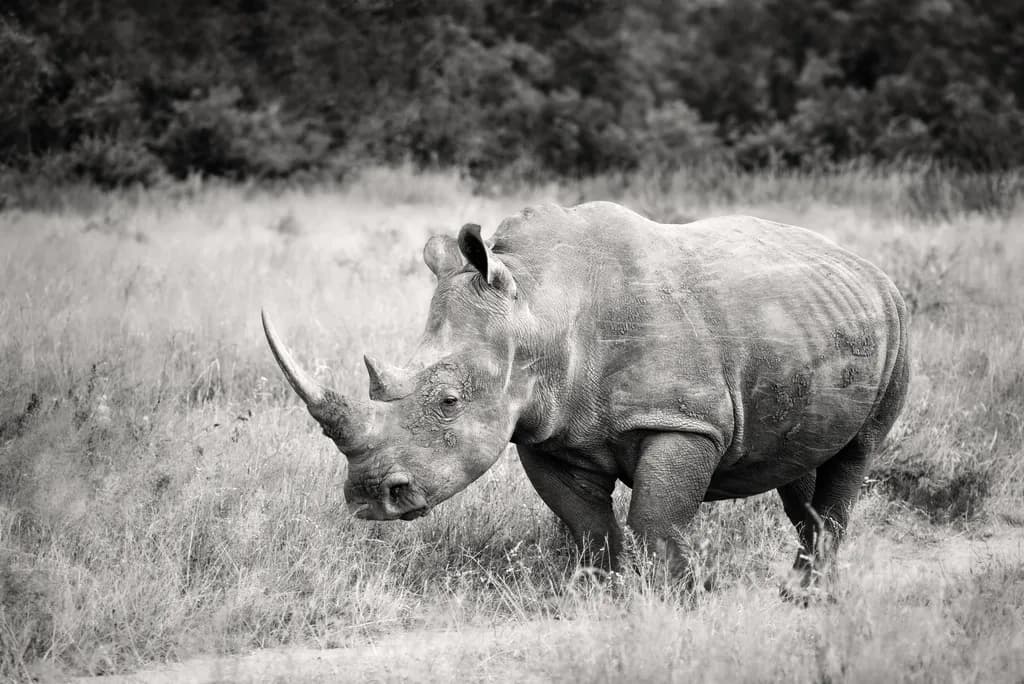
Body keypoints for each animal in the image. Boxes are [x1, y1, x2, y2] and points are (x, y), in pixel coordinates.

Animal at [263, 202, 909, 591]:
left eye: (448, 401)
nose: (369, 500)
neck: (540, 305)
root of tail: (866, 265)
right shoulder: (544, 433)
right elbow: (589, 527)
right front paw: (606, 597)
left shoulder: (683, 419)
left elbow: (654, 522)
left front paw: (675, 601)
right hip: (814, 321)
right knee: (801, 462)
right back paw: (798, 588)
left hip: (896, 318)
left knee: (857, 453)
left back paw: (806, 597)